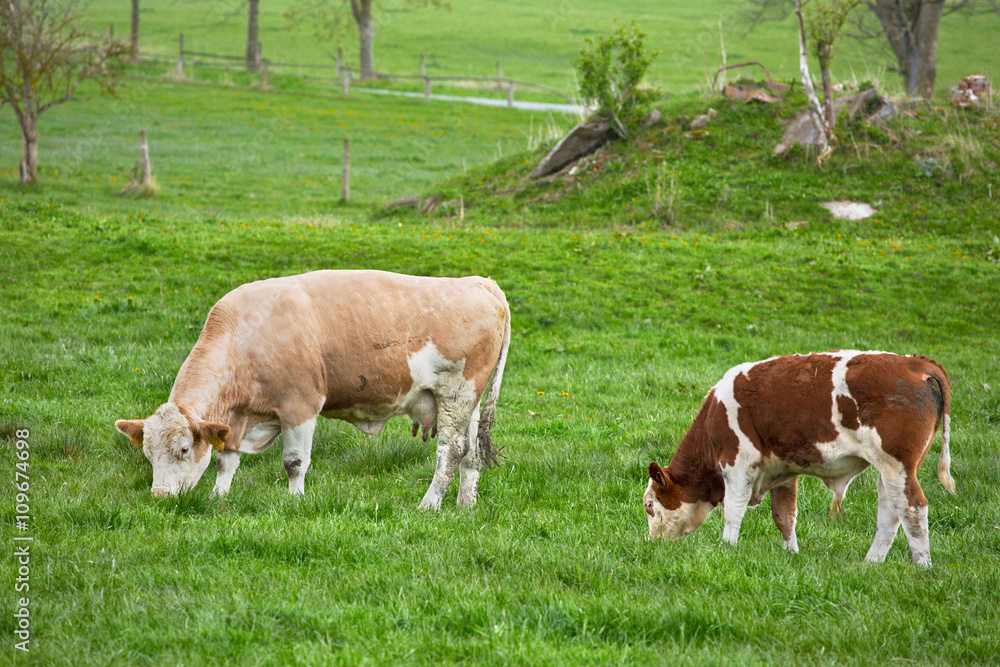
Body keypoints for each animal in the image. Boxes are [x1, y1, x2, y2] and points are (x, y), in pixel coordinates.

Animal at [115, 270, 511, 510]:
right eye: (147, 453)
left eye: (183, 449)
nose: (160, 496)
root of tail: (480, 282)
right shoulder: (237, 420)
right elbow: (227, 459)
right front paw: (218, 496)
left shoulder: (300, 405)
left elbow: (294, 462)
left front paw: (295, 502)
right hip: (467, 403)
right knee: (471, 453)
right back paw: (464, 505)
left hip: (457, 393)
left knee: (452, 451)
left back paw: (428, 505)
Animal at [644, 351, 955, 566]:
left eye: (649, 505)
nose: (653, 543)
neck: (713, 417)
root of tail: (916, 364)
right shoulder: (782, 470)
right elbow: (784, 515)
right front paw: (791, 553)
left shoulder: (738, 463)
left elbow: (733, 510)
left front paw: (727, 547)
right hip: (889, 469)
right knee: (890, 512)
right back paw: (872, 562)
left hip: (897, 464)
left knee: (913, 508)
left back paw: (922, 565)